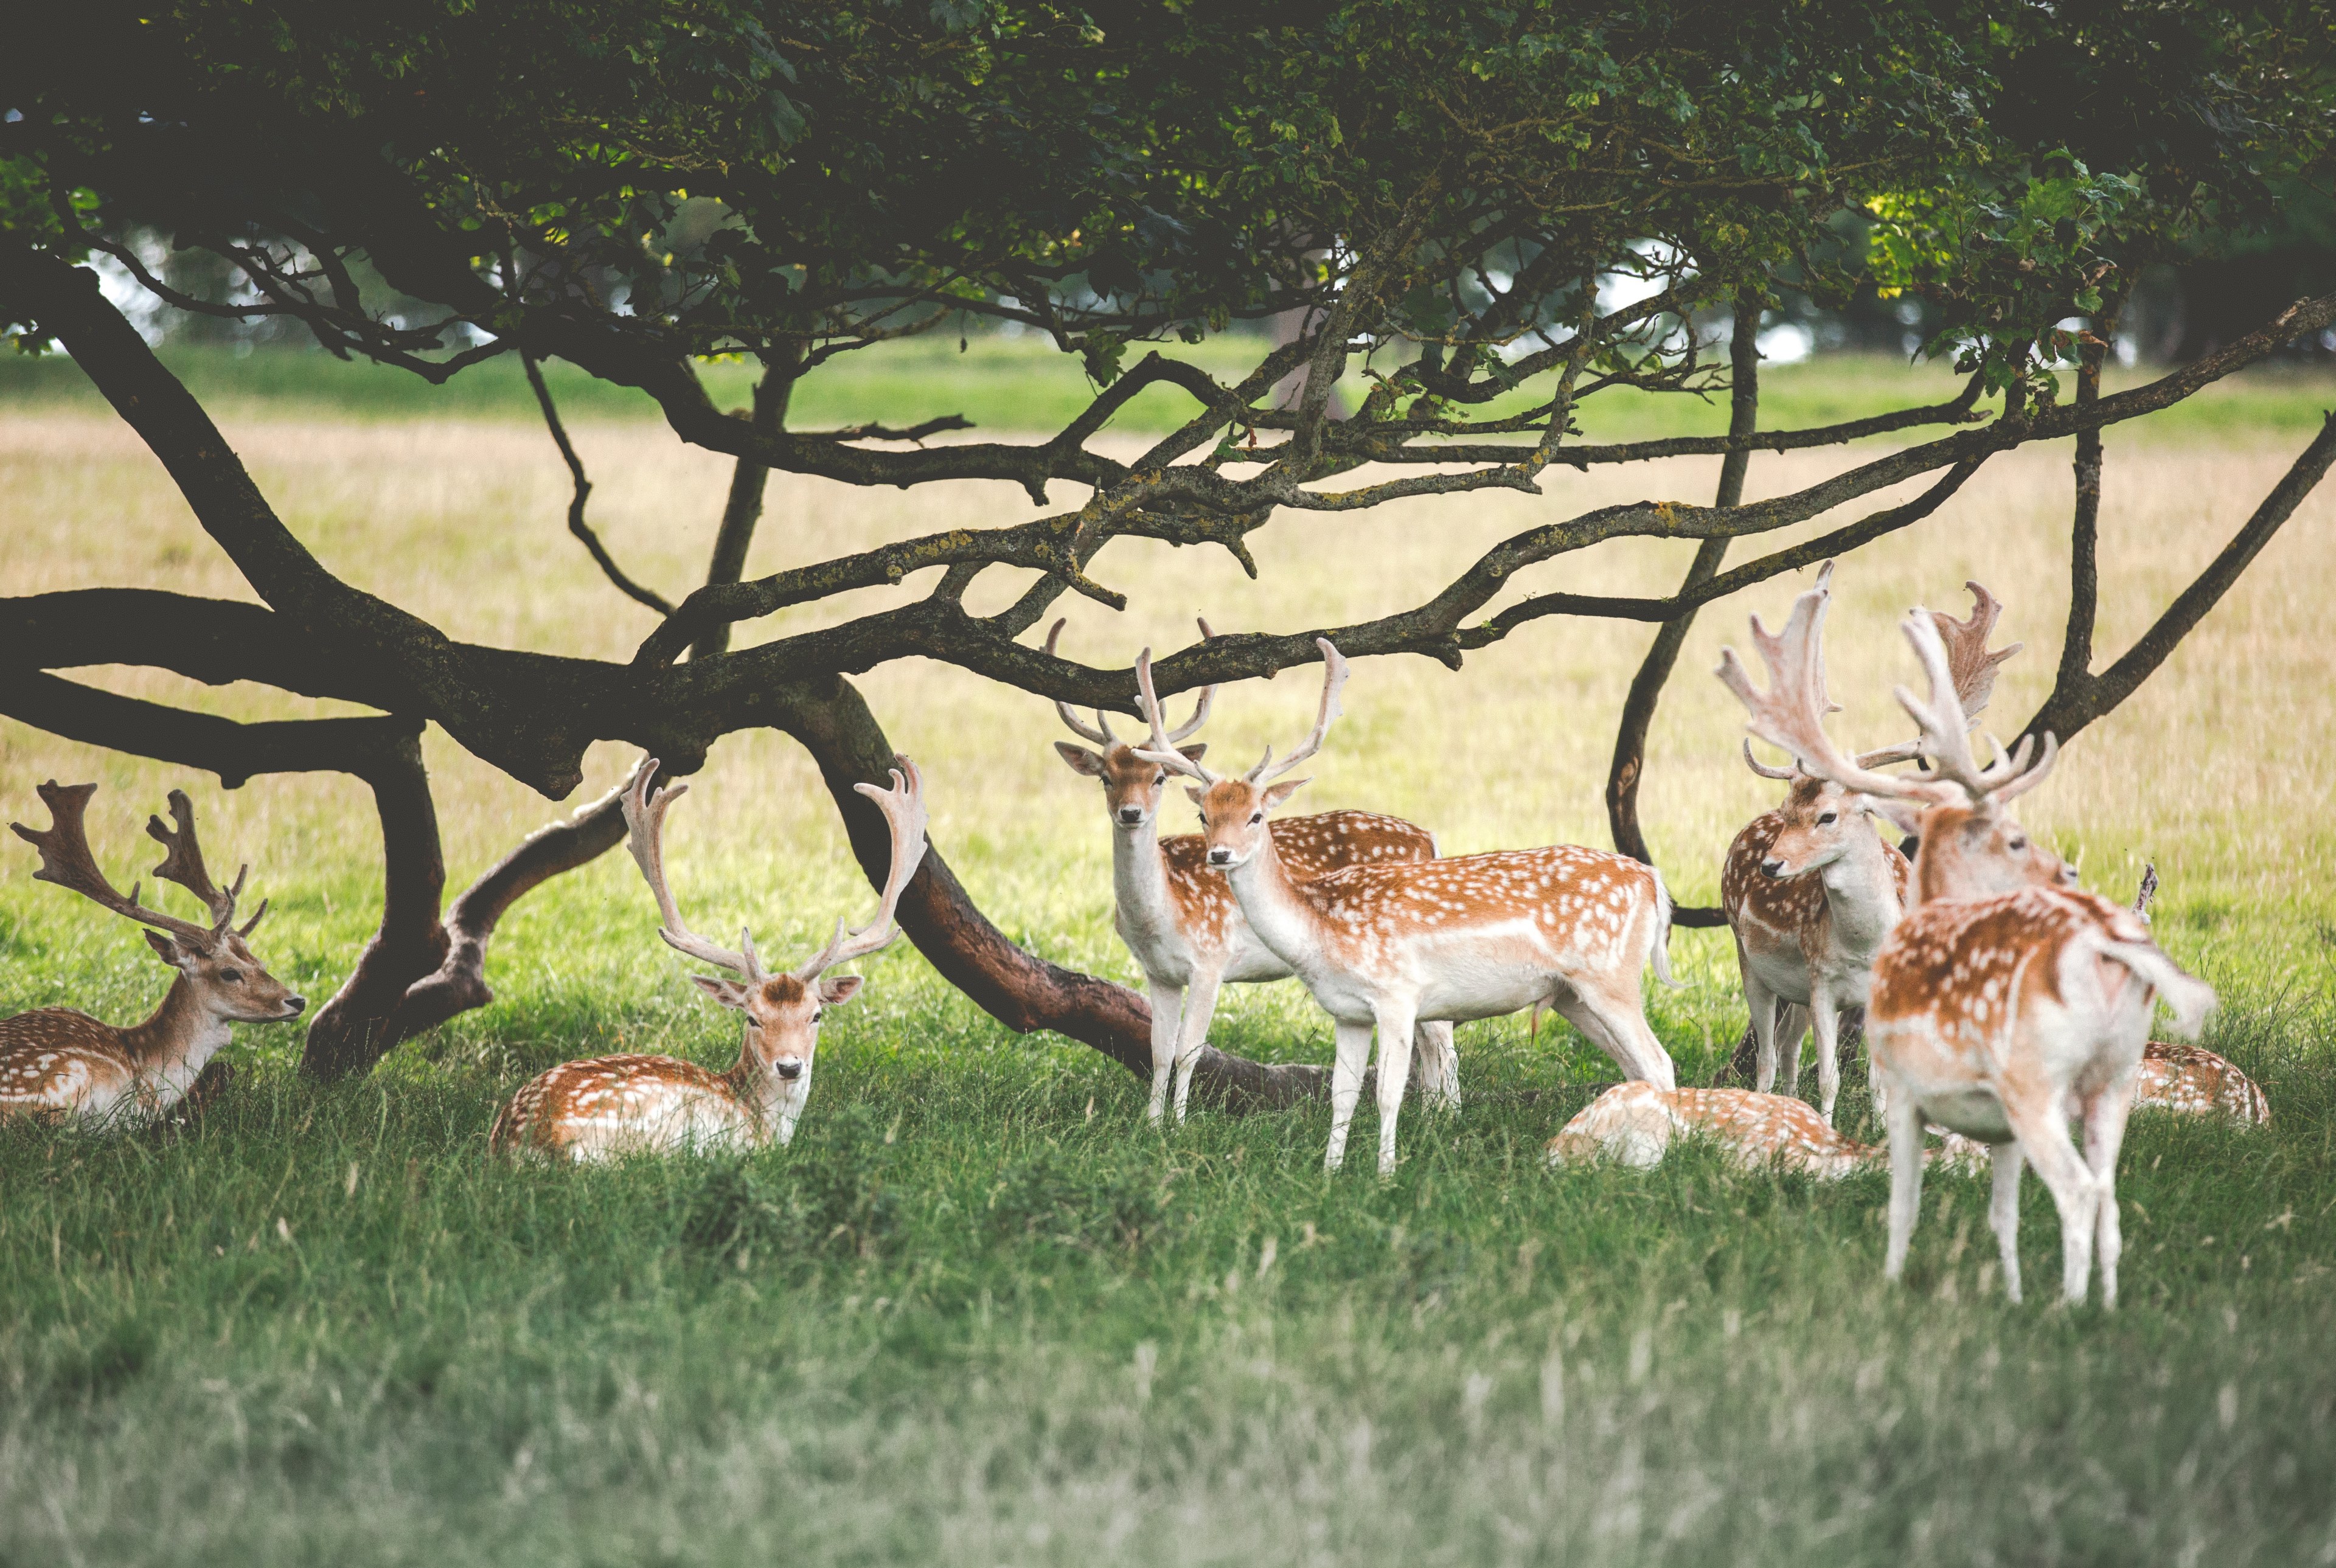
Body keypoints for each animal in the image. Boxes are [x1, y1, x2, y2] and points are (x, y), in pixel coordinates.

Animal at [0, 780, 303, 1130]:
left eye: (261, 963)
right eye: (229, 972)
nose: (297, 1001)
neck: (150, 1063)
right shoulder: (141, 1105)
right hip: (61, 1081)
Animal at [1046, 617, 1457, 1125]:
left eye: (1158, 779)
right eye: (1106, 778)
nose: (1131, 813)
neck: (1161, 912)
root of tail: (1429, 839)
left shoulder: (1211, 959)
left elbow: (1188, 1050)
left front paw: (1179, 1127)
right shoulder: (1158, 972)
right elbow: (1158, 1050)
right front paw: (1151, 1123)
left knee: (1441, 1035)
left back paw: (1446, 1118)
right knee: (1429, 1031)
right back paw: (1432, 1117)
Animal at [1137, 639, 1677, 1175]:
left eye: (1256, 816)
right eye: (1204, 815)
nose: (1219, 855)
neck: (1319, 928)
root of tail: (1652, 881)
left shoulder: (1397, 995)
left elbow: (1388, 1093)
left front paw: (1386, 1174)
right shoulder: (1348, 1012)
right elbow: (1343, 1094)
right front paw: (1330, 1174)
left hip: (1611, 977)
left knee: (1659, 1061)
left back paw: (1669, 1161)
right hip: (1570, 994)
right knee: (1634, 1066)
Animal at [1721, 568, 2024, 1125]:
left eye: (1828, 815)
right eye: (1789, 807)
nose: (1773, 864)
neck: (1862, 949)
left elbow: (1880, 1083)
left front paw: (1880, 1132)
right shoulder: (1821, 981)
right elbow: (1831, 1076)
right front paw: (1826, 1128)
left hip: (1792, 990)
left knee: (1788, 1047)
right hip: (1747, 954)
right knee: (1769, 1056)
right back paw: (1768, 1105)